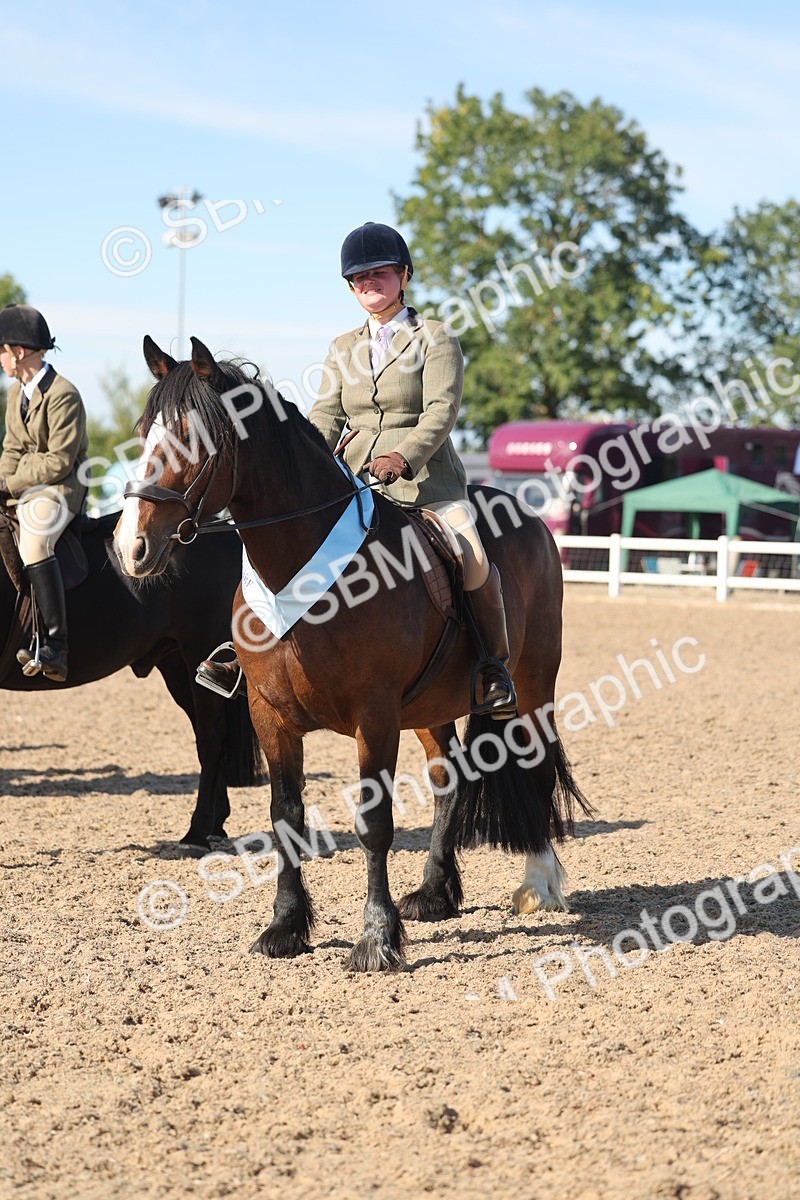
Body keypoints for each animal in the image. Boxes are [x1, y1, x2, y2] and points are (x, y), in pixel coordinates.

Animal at [114, 336, 589, 972]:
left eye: (194, 439)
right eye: (144, 432)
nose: (130, 547)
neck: (303, 567)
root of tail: (530, 516)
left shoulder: (374, 716)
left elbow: (374, 823)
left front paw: (376, 938)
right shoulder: (270, 715)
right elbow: (284, 818)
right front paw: (286, 928)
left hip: (532, 687)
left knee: (534, 763)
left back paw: (538, 883)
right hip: (431, 707)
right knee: (450, 779)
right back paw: (435, 893)